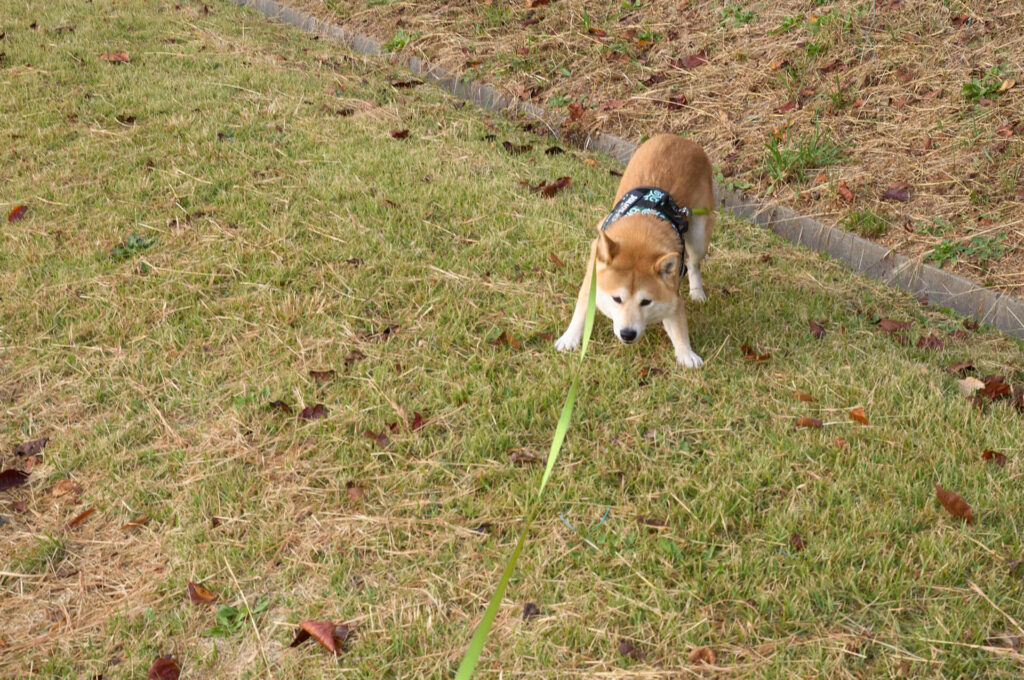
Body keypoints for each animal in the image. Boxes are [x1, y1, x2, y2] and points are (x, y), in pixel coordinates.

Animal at [557, 133, 716, 366]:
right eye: (616, 299)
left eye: (646, 302)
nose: (628, 334)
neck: (641, 231)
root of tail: (680, 138)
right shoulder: (593, 276)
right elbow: (582, 308)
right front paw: (570, 337)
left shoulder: (672, 296)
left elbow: (678, 326)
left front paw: (686, 353)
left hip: (698, 234)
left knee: (693, 263)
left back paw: (697, 292)